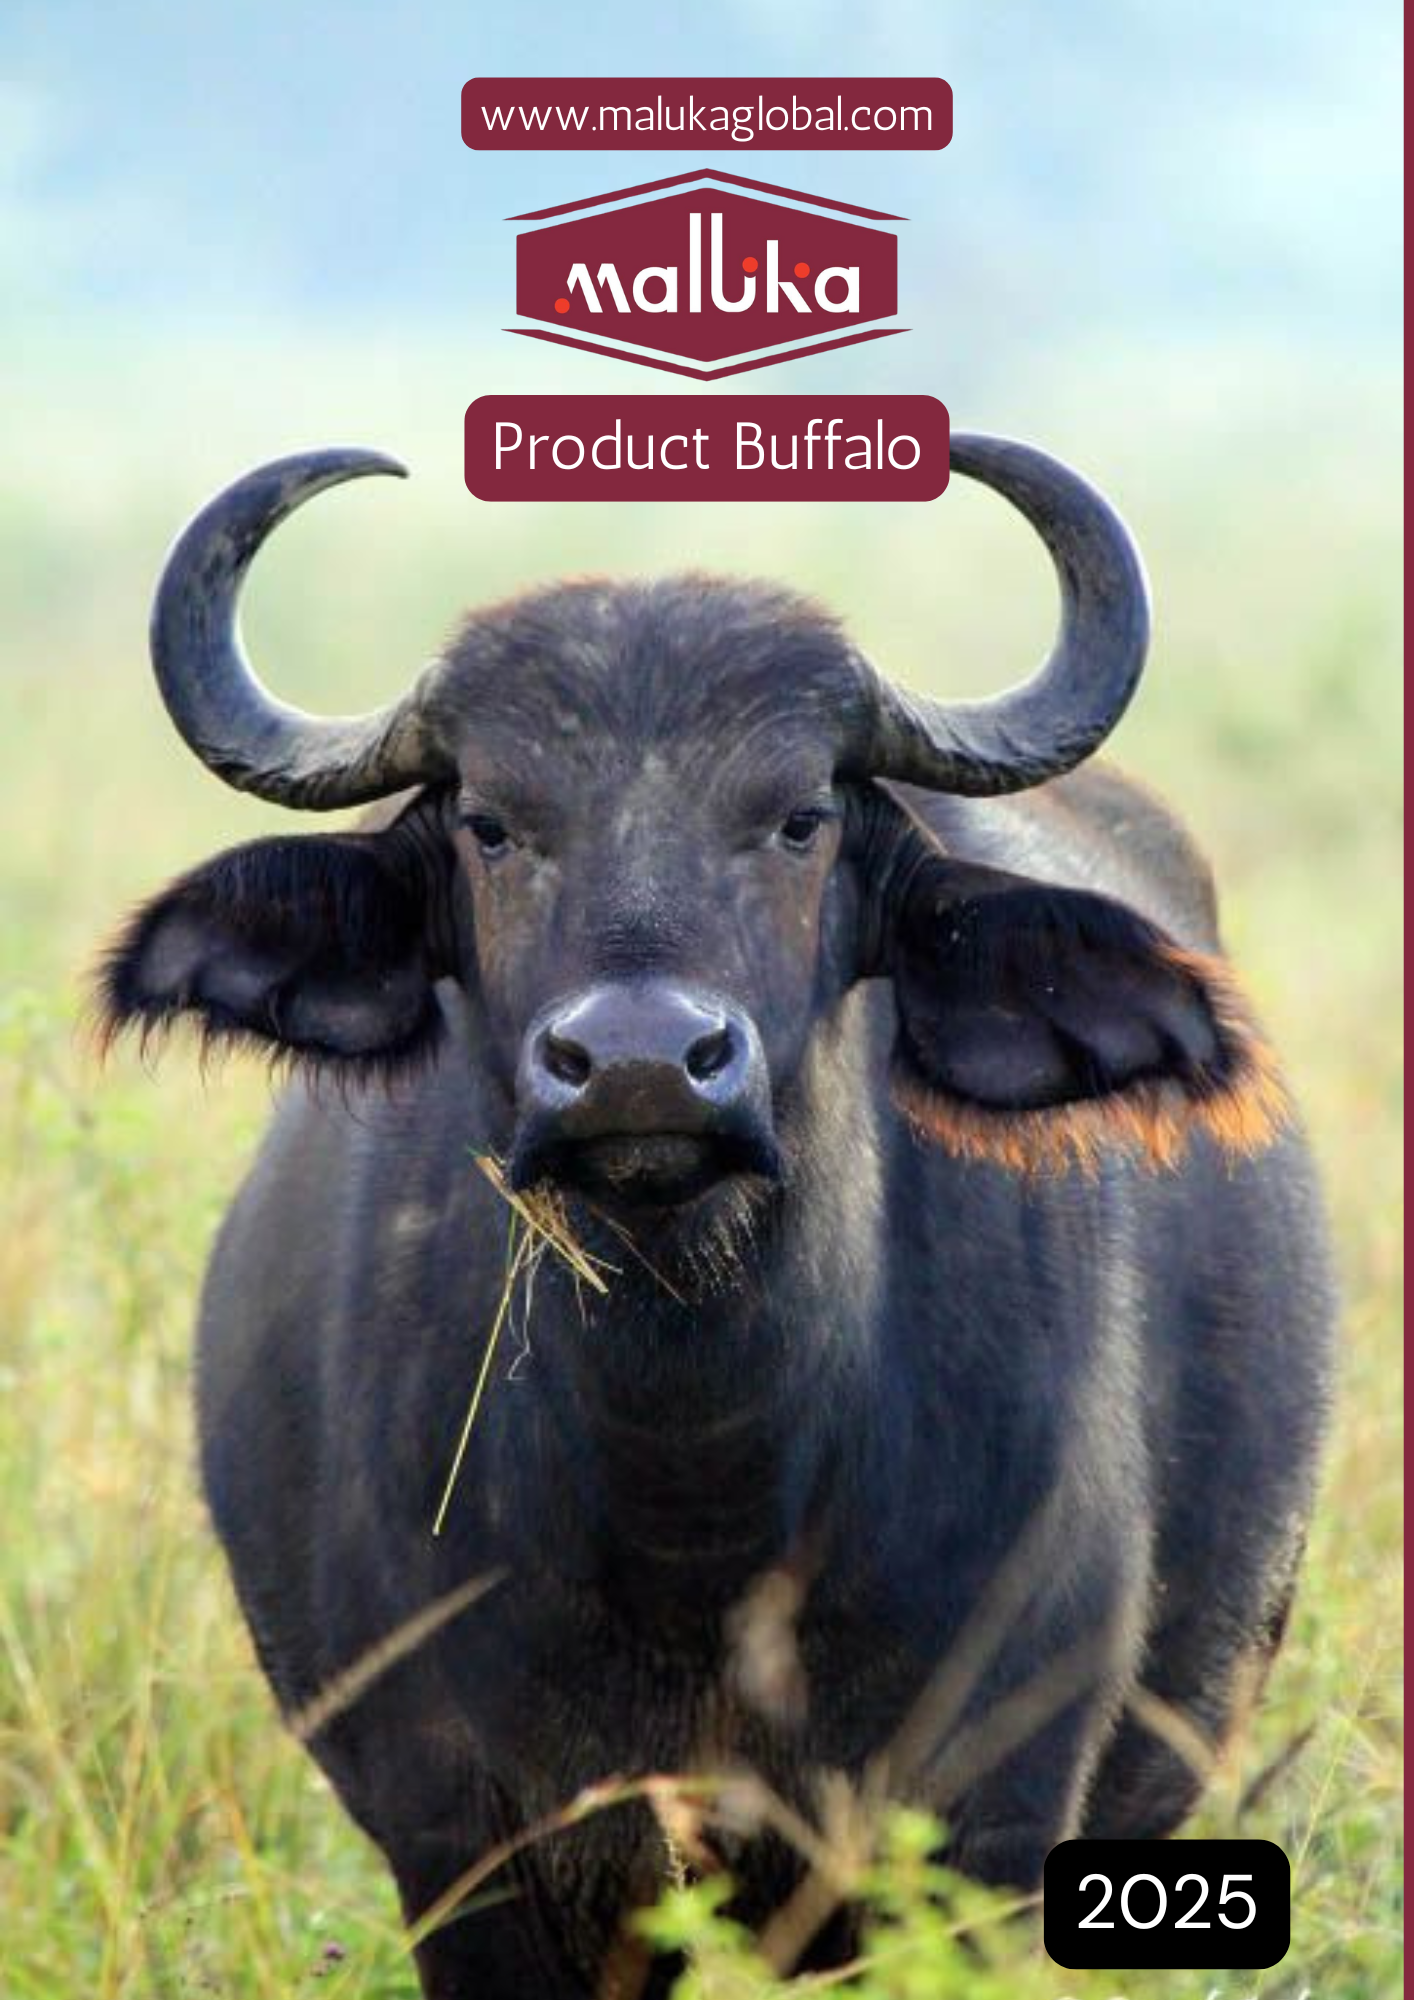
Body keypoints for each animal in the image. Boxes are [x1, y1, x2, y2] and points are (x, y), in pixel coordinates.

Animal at [98, 438, 1333, 1998]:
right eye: (491, 824)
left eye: (800, 816)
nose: (639, 1063)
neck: (696, 1502)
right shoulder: (460, 1843)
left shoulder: (985, 1830)